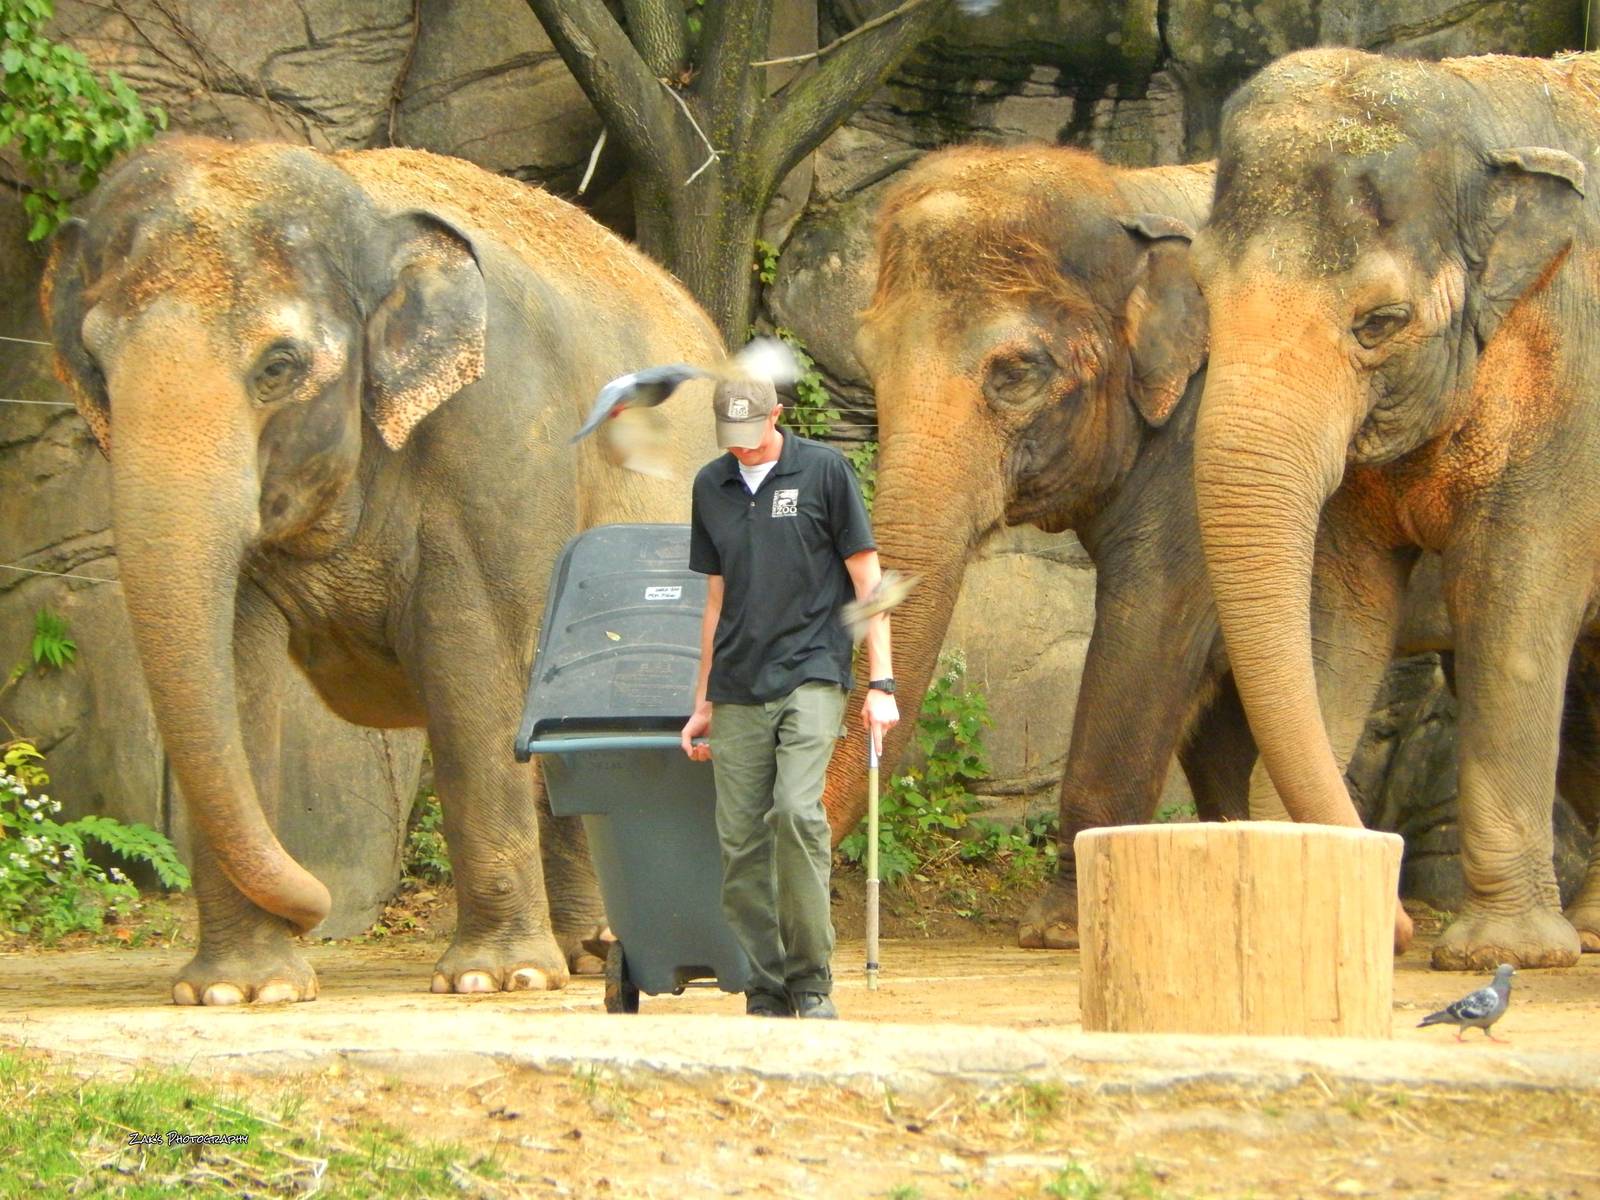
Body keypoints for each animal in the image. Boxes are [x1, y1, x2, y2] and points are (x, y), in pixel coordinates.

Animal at [42, 135, 723, 1003]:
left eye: (279, 367)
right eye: (96, 364)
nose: (317, 906)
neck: (364, 209)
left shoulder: (499, 433)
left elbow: (475, 667)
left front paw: (493, 980)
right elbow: (231, 673)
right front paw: (242, 991)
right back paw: (586, 952)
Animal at [814, 142, 1600, 954]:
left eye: (1018, 372)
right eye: (868, 365)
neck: (1129, 190)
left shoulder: (1197, 450)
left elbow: (1151, 634)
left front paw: (1059, 929)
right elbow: (1219, 715)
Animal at [1188, 48, 1600, 969]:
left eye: (1380, 321)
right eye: (1202, 300)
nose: (1403, 922)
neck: (1485, 114)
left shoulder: (1574, 388)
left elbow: (1512, 607)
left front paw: (1504, 951)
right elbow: (1343, 615)